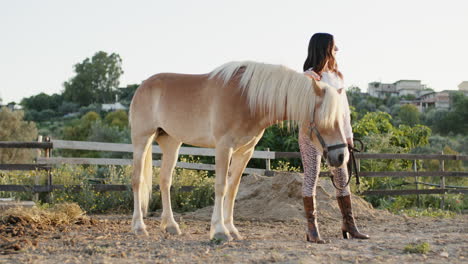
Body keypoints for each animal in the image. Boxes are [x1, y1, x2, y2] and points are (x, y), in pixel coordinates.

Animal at [128, 60, 348, 241]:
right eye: (326, 119)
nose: (341, 156)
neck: (247, 99)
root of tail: (144, 85)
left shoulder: (245, 152)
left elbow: (233, 189)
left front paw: (231, 230)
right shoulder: (224, 147)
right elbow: (221, 186)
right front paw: (219, 231)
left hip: (171, 142)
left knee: (165, 181)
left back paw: (171, 226)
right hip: (142, 140)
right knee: (137, 180)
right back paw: (139, 227)